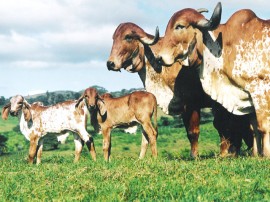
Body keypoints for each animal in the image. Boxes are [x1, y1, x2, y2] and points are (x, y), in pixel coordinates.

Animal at [106, 22, 253, 158]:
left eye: (128, 37)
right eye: (113, 38)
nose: (110, 63)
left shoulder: (197, 103)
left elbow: (206, 129)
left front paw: (201, 155)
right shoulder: (184, 106)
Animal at [155, 2, 268, 156]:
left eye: (179, 26)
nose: (159, 58)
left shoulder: (260, 89)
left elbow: (263, 126)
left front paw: (265, 155)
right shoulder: (247, 95)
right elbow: (254, 127)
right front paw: (256, 155)